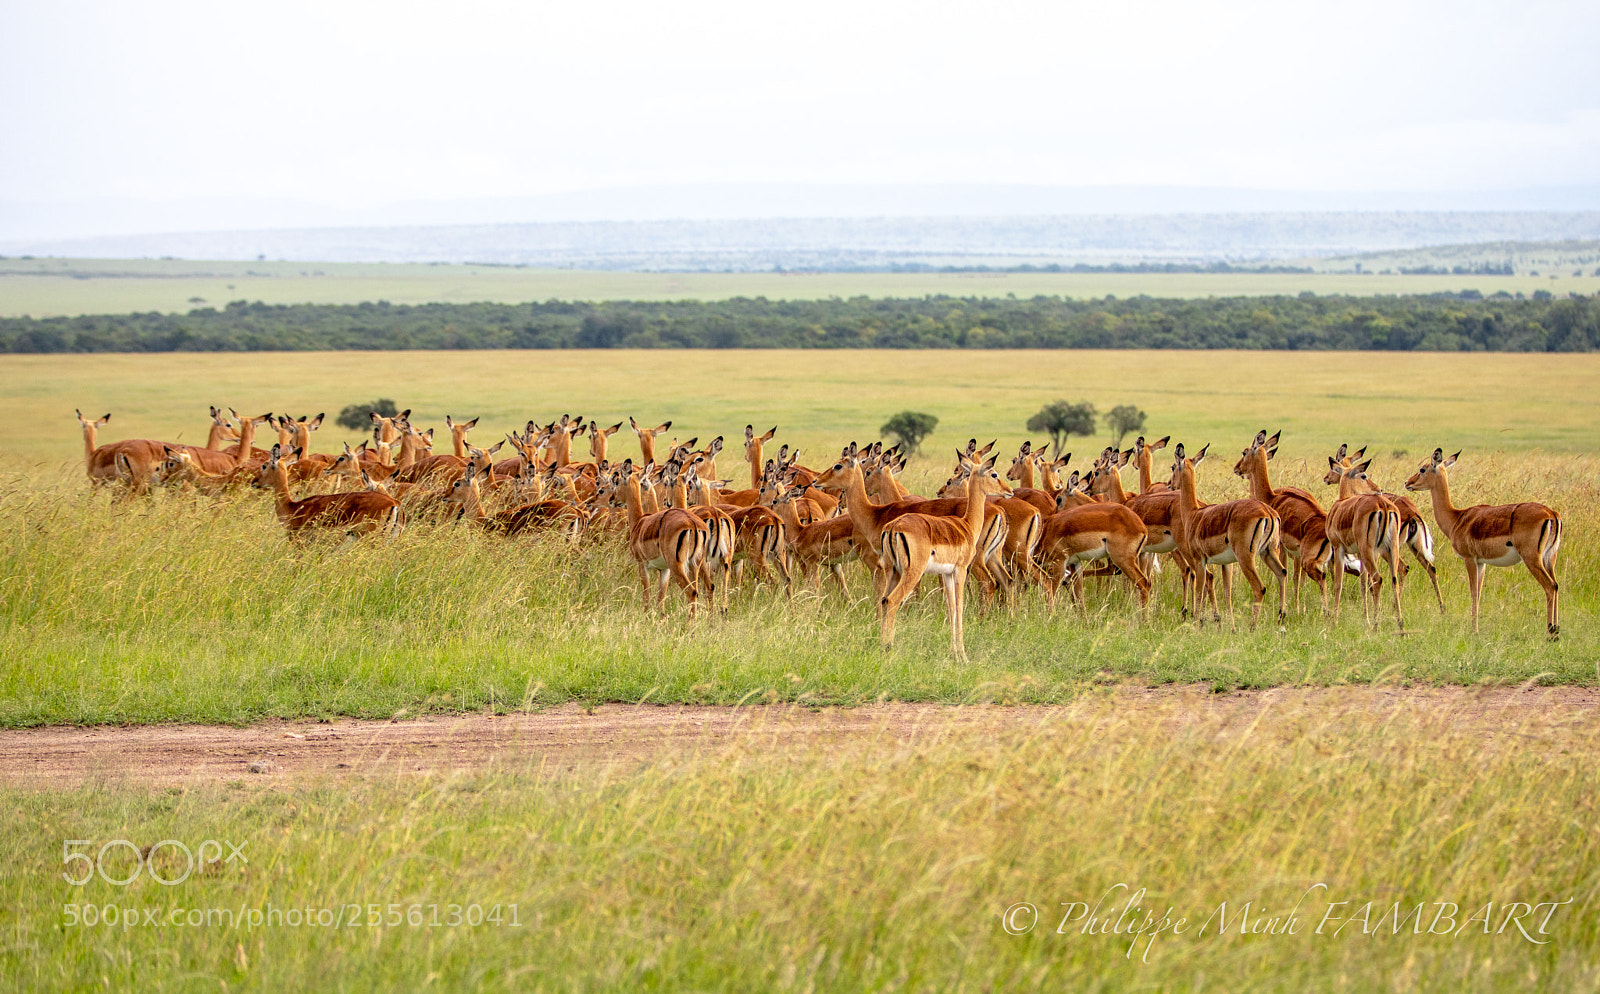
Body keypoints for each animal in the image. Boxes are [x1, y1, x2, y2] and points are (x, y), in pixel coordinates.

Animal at [618, 459, 708, 618]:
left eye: (617, 481)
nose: (613, 500)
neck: (639, 523)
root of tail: (692, 523)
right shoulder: (664, 569)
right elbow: (661, 600)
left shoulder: (642, 564)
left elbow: (646, 596)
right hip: (694, 565)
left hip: (677, 566)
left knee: (691, 592)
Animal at [876, 454, 996, 660]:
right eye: (994, 474)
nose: (1009, 490)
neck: (966, 525)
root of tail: (893, 527)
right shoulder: (961, 570)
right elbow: (959, 606)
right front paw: (963, 655)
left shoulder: (947, 574)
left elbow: (951, 607)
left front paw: (953, 652)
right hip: (912, 573)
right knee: (892, 601)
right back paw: (888, 648)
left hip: (892, 571)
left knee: (883, 600)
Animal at [1170, 443, 1287, 626]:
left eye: (1173, 467)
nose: (1169, 484)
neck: (1193, 514)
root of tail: (1267, 512)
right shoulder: (1226, 563)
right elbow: (1227, 594)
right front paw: (1229, 627)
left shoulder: (1199, 560)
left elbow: (1199, 590)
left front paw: (1198, 623)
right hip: (1269, 552)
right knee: (1282, 573)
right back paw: (1280, 617)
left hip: (1246, 557)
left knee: (1259, 588)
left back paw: (1252, 627)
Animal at [1324, 458, 1406, 630]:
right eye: (1364, 475)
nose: (1379, 489)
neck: (1340, 505)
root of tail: (1383, 505)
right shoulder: (1360, 554)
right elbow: (1363, 585)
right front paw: (1365, 618)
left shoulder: (1339, 548)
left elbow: (1338, 584)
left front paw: (1334, 620)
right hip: (1390, 549)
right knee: (1394, 580)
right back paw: (1400, 624)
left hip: (1369, 551)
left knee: (1378, 579)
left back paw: (1376, 624)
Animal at [1404, 449, 1562, 636]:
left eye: (1422, 469)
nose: (1407, 482)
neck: (1457, 518)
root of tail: (1551, 514)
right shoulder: (1482, 563)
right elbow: (1479, 593)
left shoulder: (1469, 559)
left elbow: (1473, 593)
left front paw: (1474, 630)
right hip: (1549, 559)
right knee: (1556, 585)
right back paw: (1557, 630)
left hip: (1532, 559)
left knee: (1550, 586)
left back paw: (1550, 633)